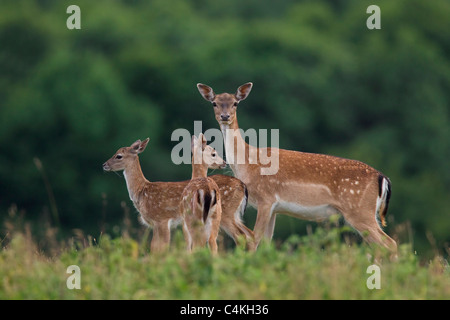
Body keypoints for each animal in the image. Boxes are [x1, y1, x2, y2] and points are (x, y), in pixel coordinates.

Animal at [103, 138, 255, 252]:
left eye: (119, 156)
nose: (104, 164)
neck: (142, 191)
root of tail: (242, 185)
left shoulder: (161, 219)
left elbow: (158, 248)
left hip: (225, 213)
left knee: (239, 236)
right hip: (230, 215)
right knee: (248, 234)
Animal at [197, 83, 398, 255]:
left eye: (235, 103)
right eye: (214, 102)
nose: (225, 116)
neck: (248, 164)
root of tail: (383, 178)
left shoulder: (266, 199)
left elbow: (254, 241)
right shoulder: (274, 209)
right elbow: (267, 244)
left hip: (359, 210)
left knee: (389, 244)